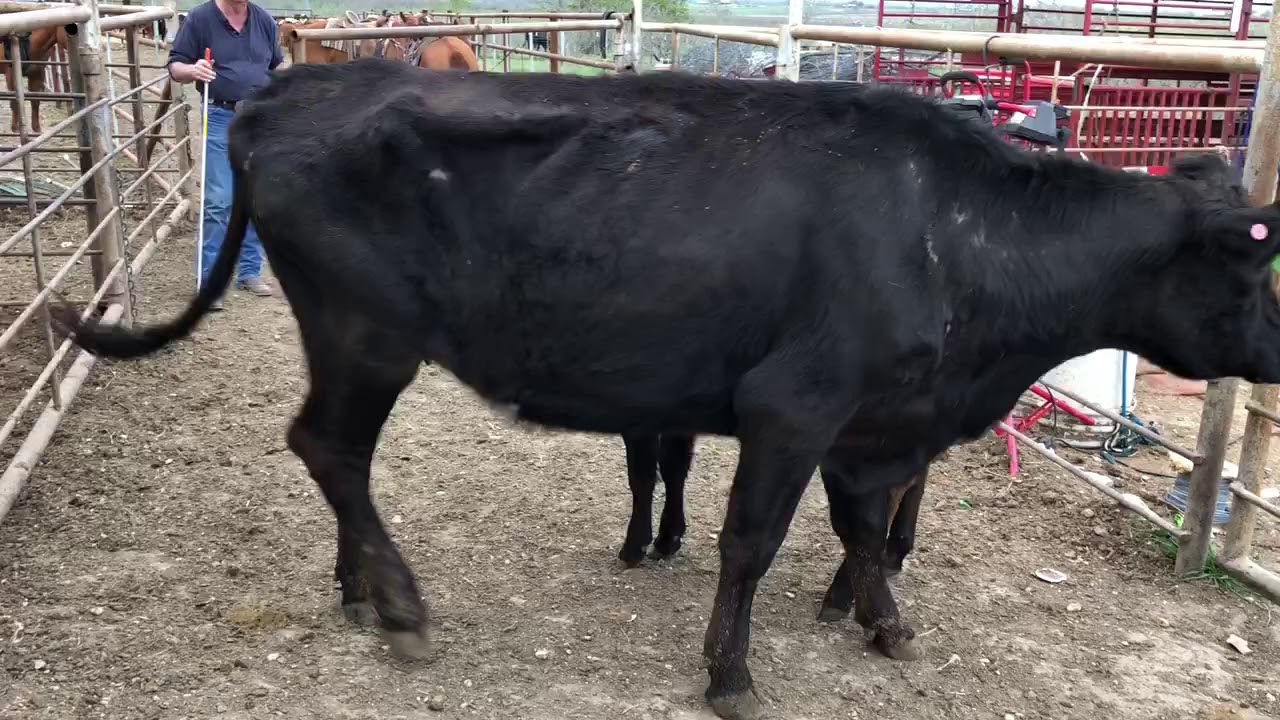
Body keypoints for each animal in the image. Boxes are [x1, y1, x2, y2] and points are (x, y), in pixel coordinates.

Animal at [56, 60, 1280, 720]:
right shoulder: (795, 405)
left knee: (333, 452)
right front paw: (729, 671)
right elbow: (756, 542)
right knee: (329, 449)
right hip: (368, 337)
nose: (1277, 350)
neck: (953, 233)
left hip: (345, 340)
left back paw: (361, 589)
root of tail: (293, 85)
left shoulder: (871, 423)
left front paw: (883, 622)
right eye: (1246, 260)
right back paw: (400, 606)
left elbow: (864, 530)